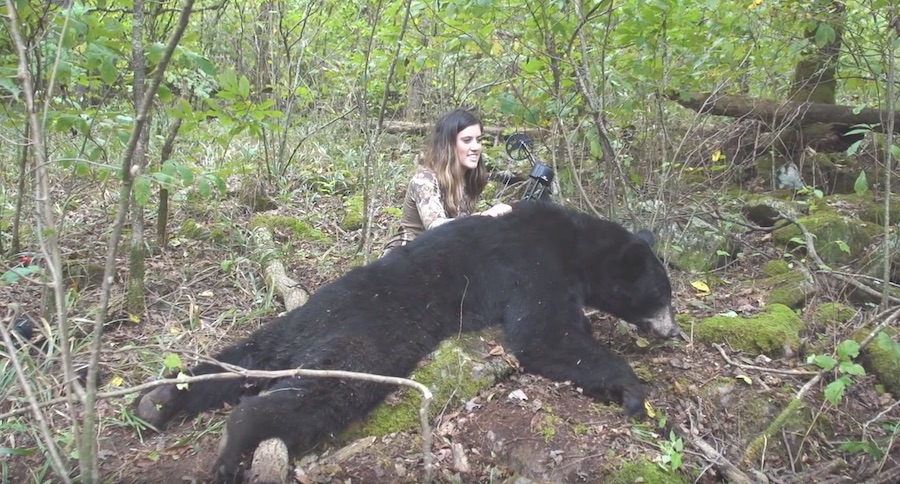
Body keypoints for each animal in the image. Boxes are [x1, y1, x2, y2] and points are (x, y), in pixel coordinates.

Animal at [137, 199, 680, 480]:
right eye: (662, 294)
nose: (672, 332)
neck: (575, 246)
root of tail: (310, 328)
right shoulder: (530, 266)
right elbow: (545, 335)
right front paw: (635, 392)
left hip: (281, 331)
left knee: (233, 361)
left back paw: (159, 400)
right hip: (366, 339)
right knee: (321, 393)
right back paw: (232, 450)